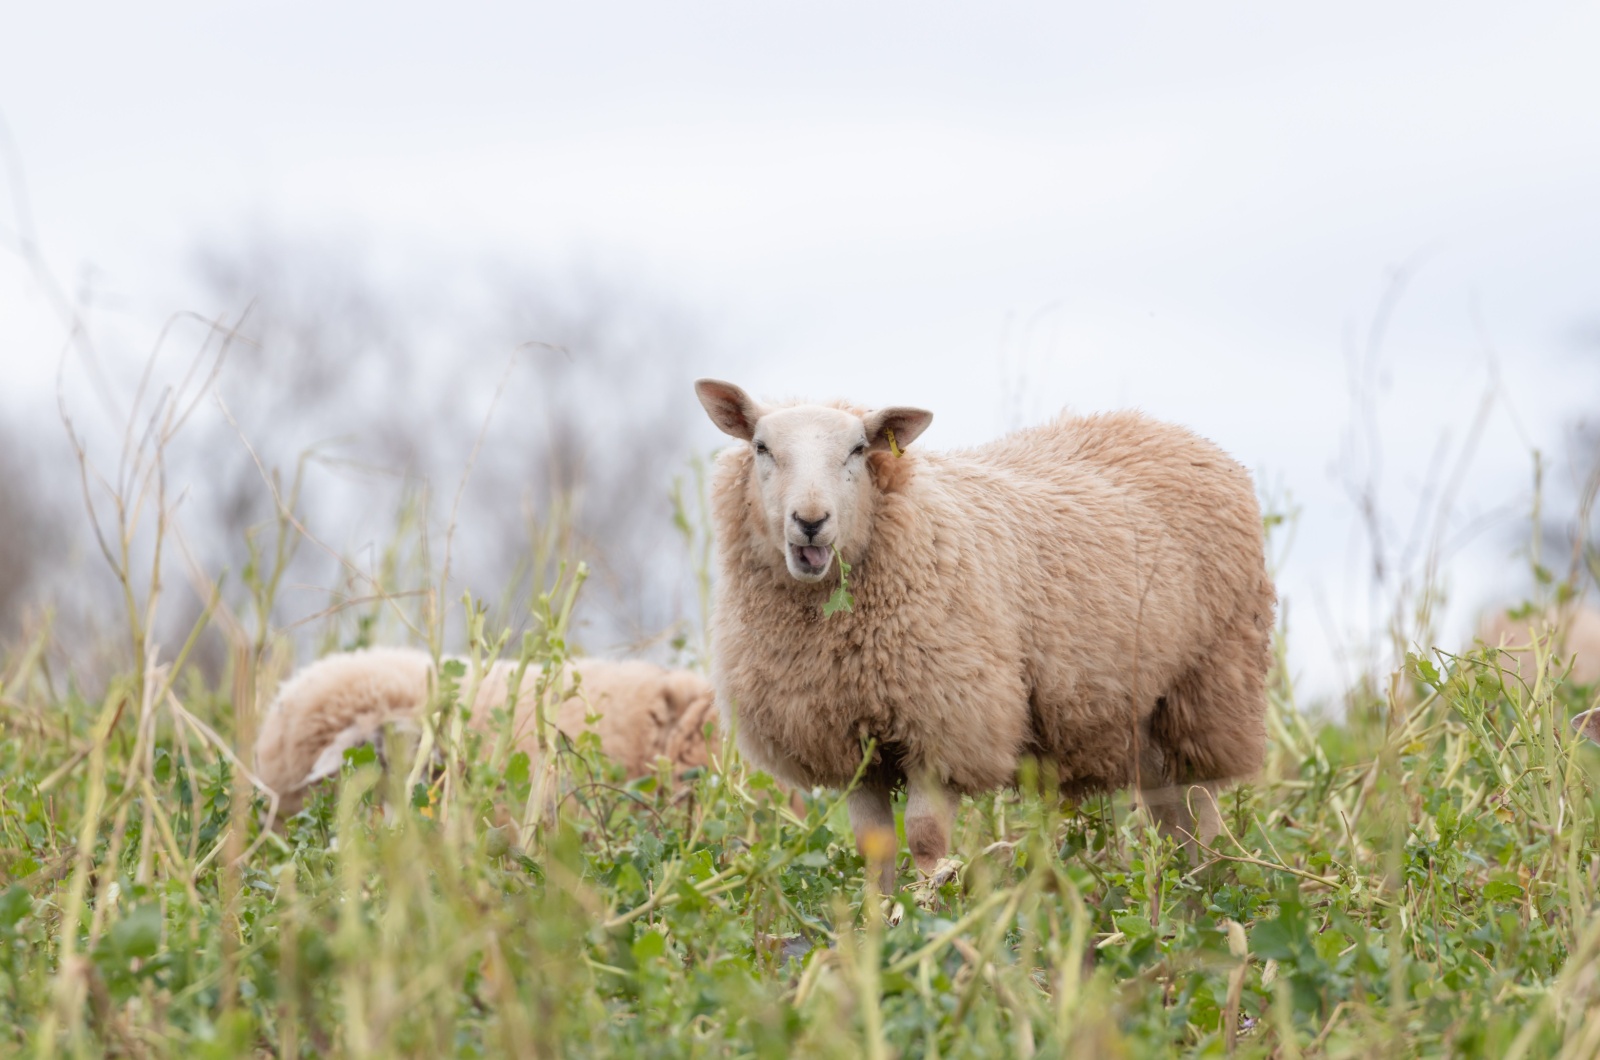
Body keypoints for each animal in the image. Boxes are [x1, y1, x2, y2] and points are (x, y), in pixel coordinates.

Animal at [694, 377, 1280, 890]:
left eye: (858, 450)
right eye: (762, 448)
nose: (810, 521)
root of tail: (1178, 433)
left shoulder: (949, 727)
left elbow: (926, 839)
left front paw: (926, 916)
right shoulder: (850, 743)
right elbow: (874, 850)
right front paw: (872, 929)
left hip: (1209, 684)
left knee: (1201, 804)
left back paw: (1210, 892)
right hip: (1142, 716)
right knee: (1168, 813)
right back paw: (1181, 897)